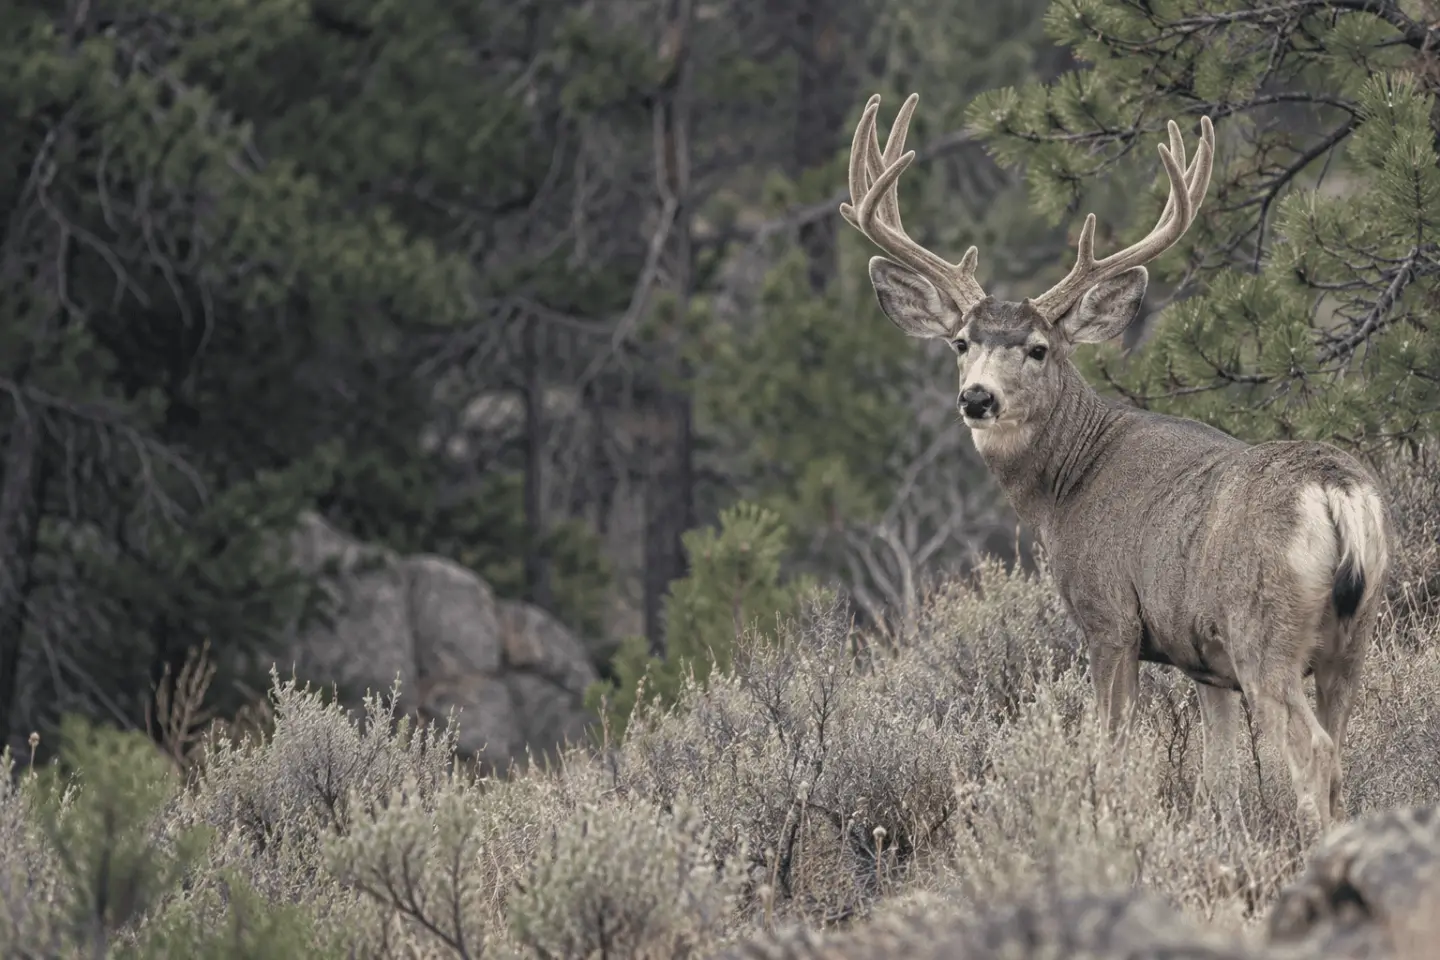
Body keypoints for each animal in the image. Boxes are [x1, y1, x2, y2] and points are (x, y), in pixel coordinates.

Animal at [838, 93, 1391, 838]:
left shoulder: (1110, 619)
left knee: (1317, 753)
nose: (977, 397)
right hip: (1352, 639)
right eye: (960, 342)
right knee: (1341, 747)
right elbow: (1219, 776)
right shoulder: (1205, 661)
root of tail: (1337, 491)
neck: (1068, 484)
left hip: (1265, 632)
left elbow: (1112, 752)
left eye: (1039, 348)